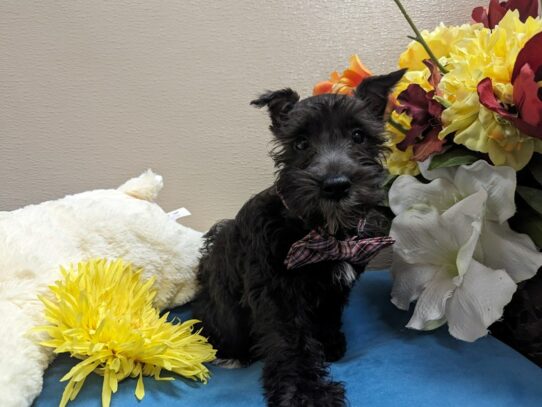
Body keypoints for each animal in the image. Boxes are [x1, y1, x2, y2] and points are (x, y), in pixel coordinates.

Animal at [193, 68, 406, 406]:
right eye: (301, 143)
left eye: (358, 136)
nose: (335, 185)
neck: (323, 231)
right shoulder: (276, 293)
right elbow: (291, 342)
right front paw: (306, 394)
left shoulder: (335, 288)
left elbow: (328, 316)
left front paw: (330, 344)